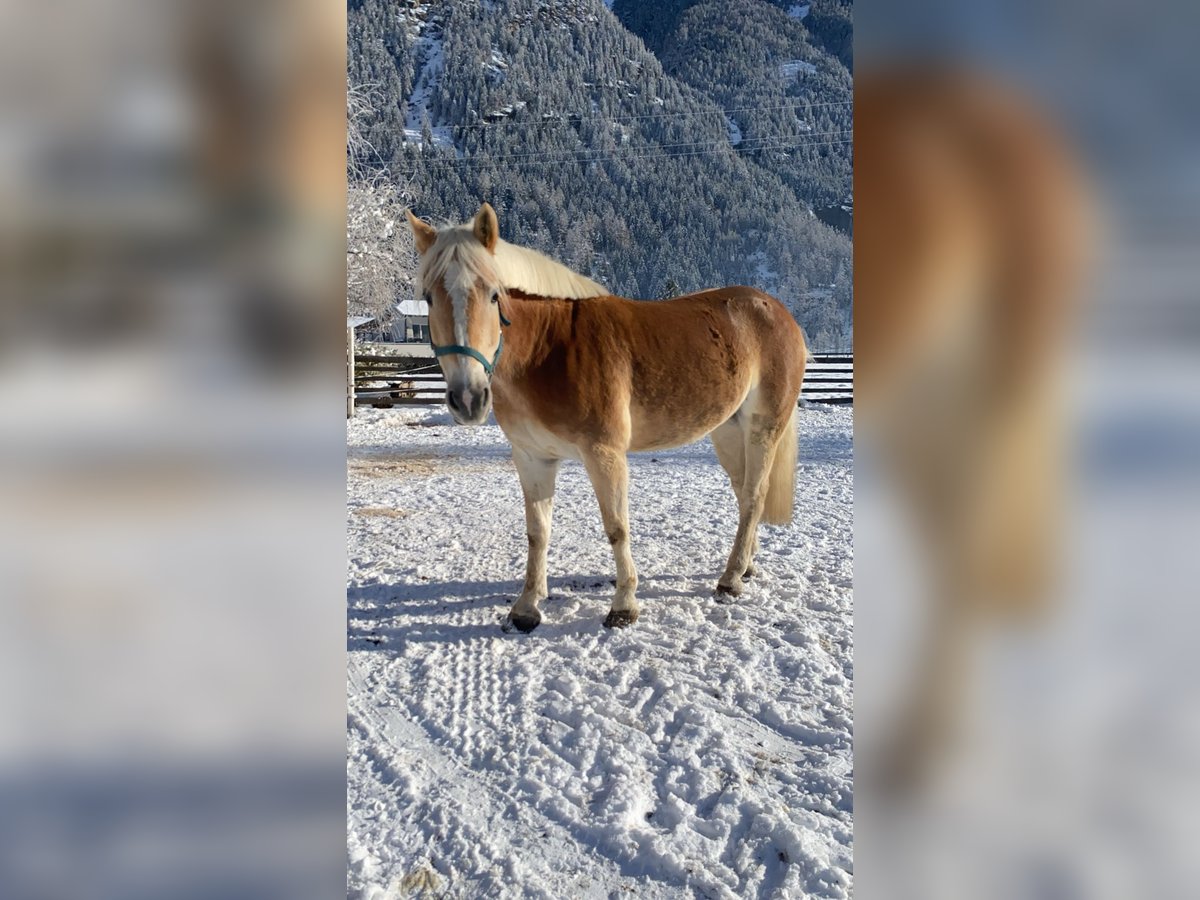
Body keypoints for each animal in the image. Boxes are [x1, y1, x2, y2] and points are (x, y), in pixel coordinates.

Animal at [403, 205, 806, 633]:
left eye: (494, 295)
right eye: (428, 298)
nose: (468, 398)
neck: (550, 348)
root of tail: (778, 312)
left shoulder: (604, 454)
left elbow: (616, 527)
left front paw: (624, 605)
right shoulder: (531, 458)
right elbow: (537, 532)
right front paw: (527, 608)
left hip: (763, 427)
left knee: (754, 495)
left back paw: (730, 579)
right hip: (728, 431)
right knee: (745, 494)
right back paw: (746, 566)